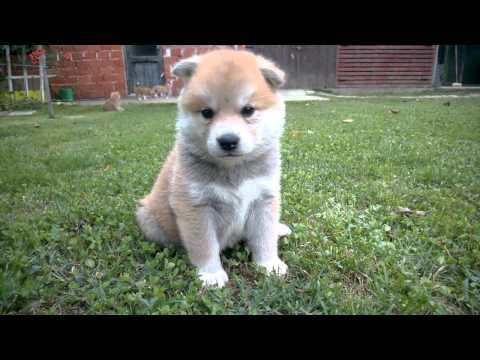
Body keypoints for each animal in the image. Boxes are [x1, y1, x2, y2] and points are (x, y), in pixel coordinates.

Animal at [136, 49, 292, 288]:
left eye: (248, 110)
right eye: (207, 112)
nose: (228, 140)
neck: (233, 170)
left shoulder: (264, 199)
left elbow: (264, 238)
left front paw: (269, 264)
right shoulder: (195, 207)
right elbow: (204, 246)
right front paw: (211, 274)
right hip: (147, 217)